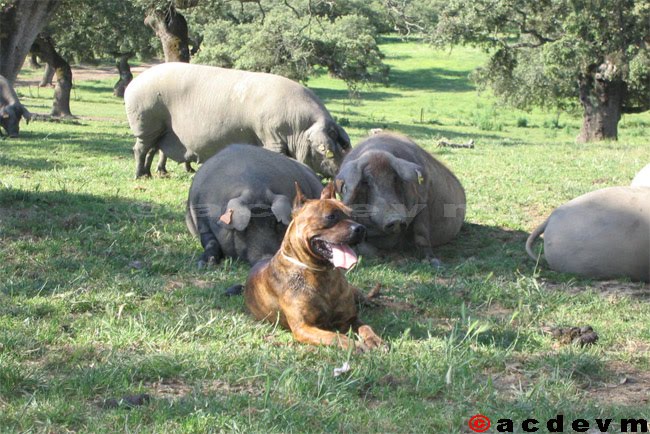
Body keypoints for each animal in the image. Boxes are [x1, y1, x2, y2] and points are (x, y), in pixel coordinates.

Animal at [185, 145, 322, 264]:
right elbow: (209, 240)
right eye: (245, 227)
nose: (266, 257)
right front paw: (204, 263)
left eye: (275, 222)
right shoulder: (201, 219)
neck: (255, 190)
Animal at [243, 181, 384, 350]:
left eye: (352, 215)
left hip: (353, 291)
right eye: (331, 216)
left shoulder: (350, 318)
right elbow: (334, 336)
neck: (322, 273)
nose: (360, 228)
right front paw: (354, 345)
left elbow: (366, 327)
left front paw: (374, 339)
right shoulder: (304, 327)